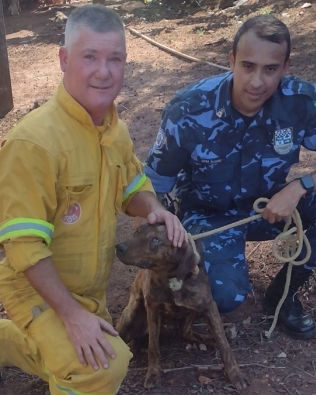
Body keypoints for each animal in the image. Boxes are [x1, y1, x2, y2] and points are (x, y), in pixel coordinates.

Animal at [115, 224, 248, 392]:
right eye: (137, 232)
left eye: (155, 239)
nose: (119, 247)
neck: (171, 278)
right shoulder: (152, 309)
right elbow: (154, 347)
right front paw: (153, 373)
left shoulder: (209, 306)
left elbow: (224, 345)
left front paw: (235, 374)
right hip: (129, 317)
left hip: (193, 311)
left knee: (184, 332)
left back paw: (208, 339)